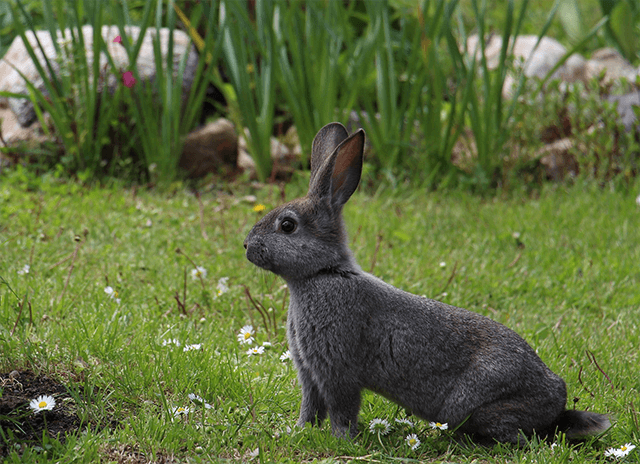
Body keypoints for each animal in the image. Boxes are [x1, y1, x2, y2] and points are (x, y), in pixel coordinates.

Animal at [244, 123, 608, 446]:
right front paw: (298, 432)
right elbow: (310, 407)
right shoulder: (309, 373)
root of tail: (556, 401)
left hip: (472, 404)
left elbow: (342, 409)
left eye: (287, 226)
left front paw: (340, 440)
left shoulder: (337, 370)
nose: (246, 245)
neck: (323, 273)